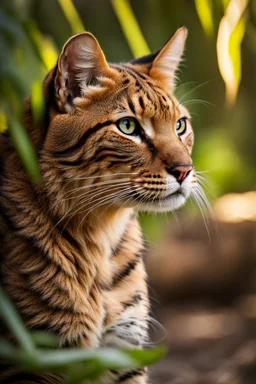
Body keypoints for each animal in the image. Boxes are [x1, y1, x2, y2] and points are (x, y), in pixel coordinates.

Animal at [0, 28, 196, 382]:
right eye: (128, 127)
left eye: (180, 125)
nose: (185, 170)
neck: (99, 235)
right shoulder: (32, 355)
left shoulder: (121, 350)